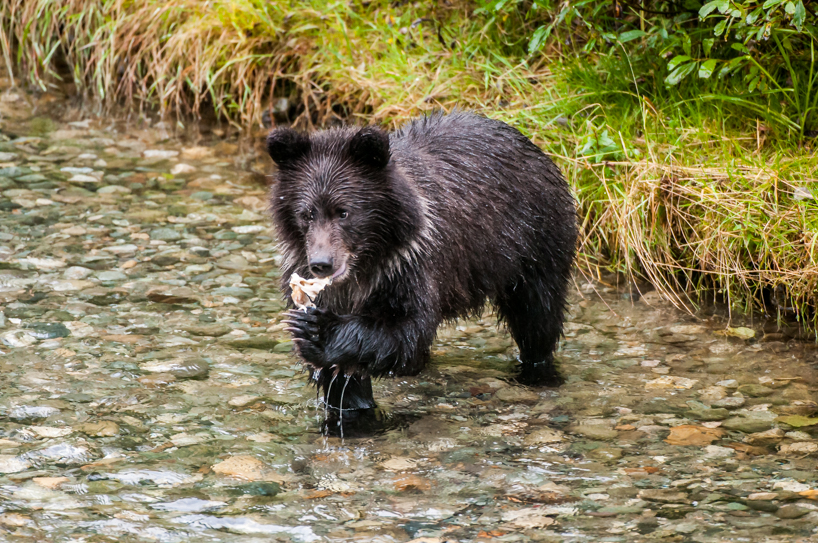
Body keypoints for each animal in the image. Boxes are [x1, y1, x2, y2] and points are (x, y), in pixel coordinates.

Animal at [267, 111, 577, 420]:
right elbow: (341, 375)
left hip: (533, 241)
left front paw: (316, 329)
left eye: (344, 212)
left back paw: (537, 369)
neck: (363, 271)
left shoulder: (409, 265)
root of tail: (534, 147)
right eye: (306, 213)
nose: (322, 263)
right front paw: (351, 402)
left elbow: (404, 328)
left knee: (537, 314)